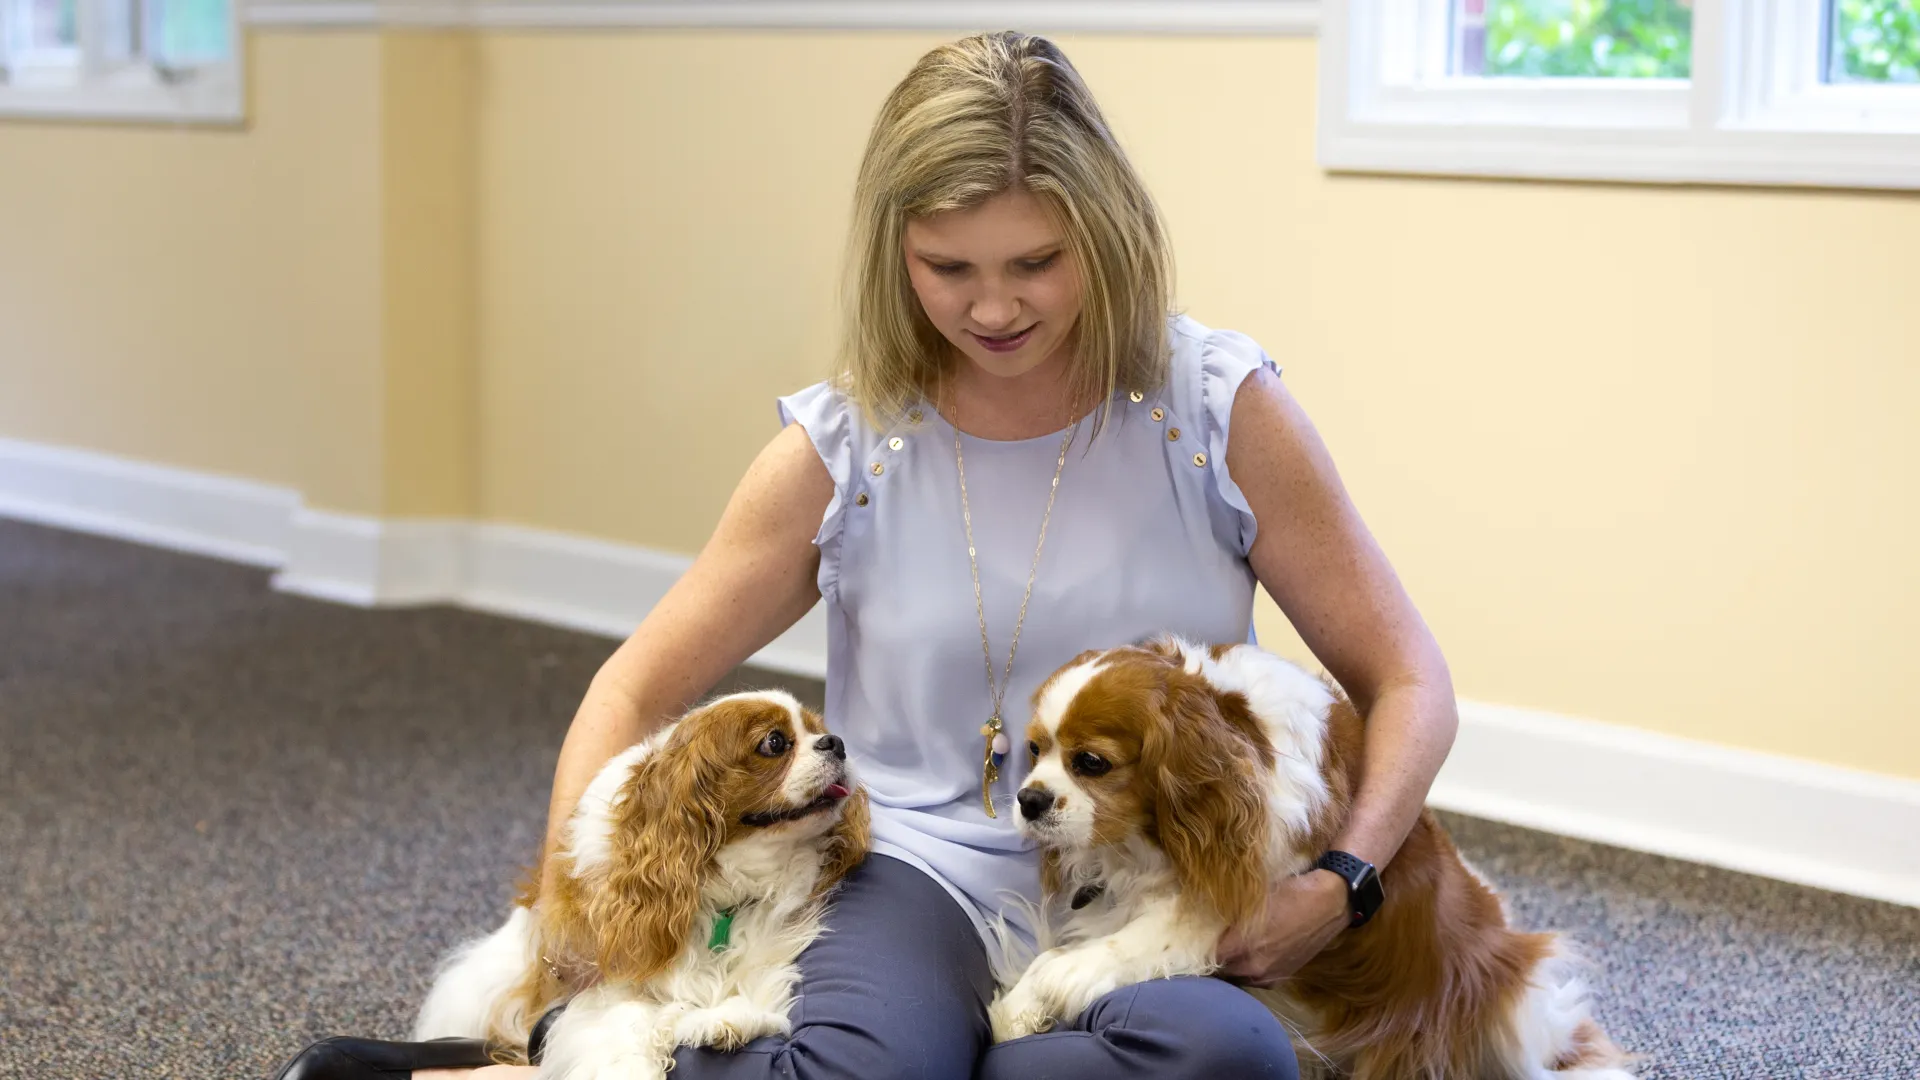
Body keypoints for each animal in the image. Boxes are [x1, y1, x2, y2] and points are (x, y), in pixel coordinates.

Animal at [422, 687, 879, 1076]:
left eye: (817, 730)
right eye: (775, 743)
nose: (835, 742)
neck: (726, 887)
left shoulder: (766, 940)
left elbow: (753, 985)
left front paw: (725, 1017)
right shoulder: (598, 978)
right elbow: (627, 1020)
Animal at [990, 638, 1635, 1076]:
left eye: (1091, 763)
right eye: (1034, 751)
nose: (1028, 798)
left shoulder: (1214, 908)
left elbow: (1074, 961)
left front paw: (1029, 1001)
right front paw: (1016, 1008)